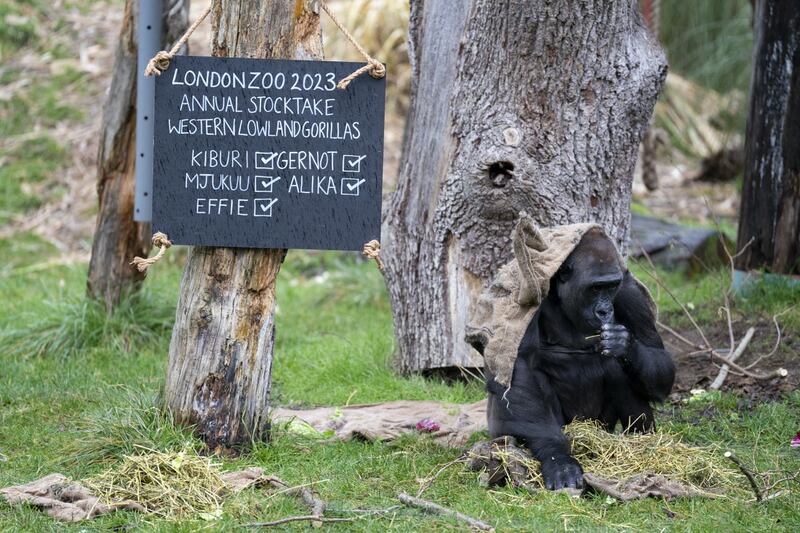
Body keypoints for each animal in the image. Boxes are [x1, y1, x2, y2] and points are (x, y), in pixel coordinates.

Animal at [484, 227, 672, 488]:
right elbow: (519, 368)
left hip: (602, 426)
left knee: (620, 370)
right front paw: (558, 458)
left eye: (611, 287)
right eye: (595, 288)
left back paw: (640, 442)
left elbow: (658, 358)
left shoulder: (630, 292)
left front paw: (625, 345)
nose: (605, 311)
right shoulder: (530, 291)